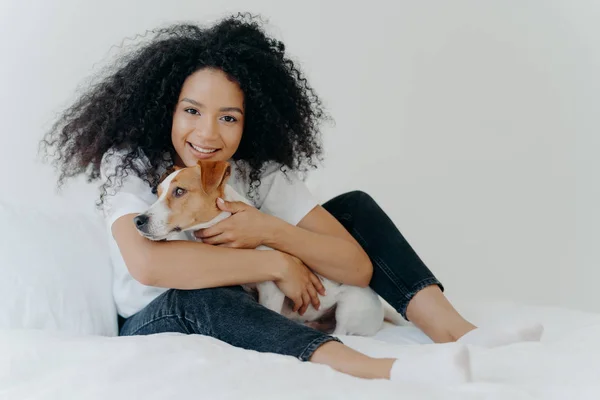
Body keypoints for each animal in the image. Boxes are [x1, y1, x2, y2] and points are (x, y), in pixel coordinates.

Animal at [132, 161, 404, 336]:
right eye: (157, 193)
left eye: (179, 191)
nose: (138, 220)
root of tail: (381, 309)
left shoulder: (271, 291)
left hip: (349, 308)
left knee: (342, 332)